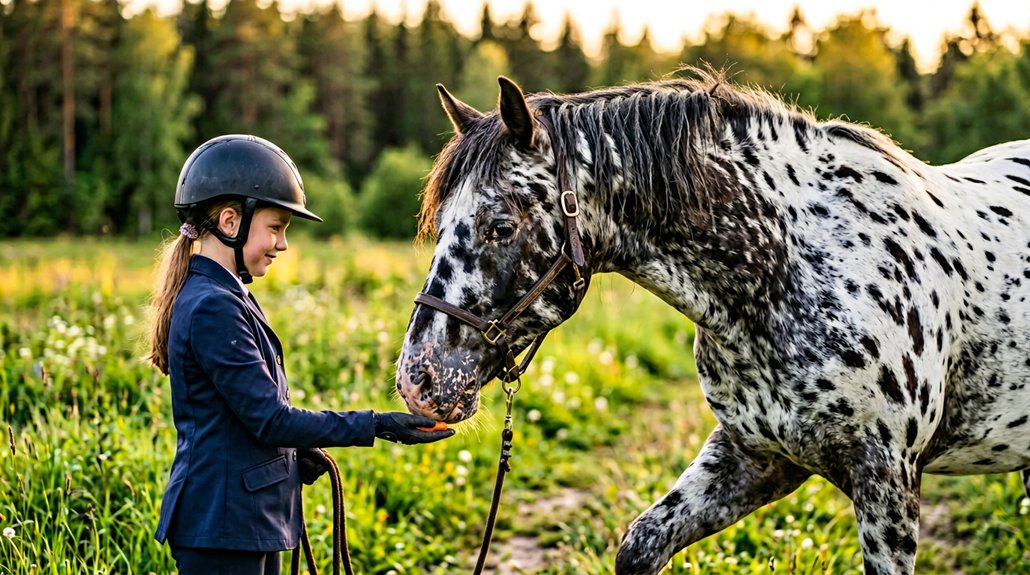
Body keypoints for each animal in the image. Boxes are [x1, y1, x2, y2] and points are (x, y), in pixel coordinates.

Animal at [394, 70, 1030, 574]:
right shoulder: (755, 456)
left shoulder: (886, 481)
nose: (418, 380)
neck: (788, 271)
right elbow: (640, 544)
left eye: (500, 226)